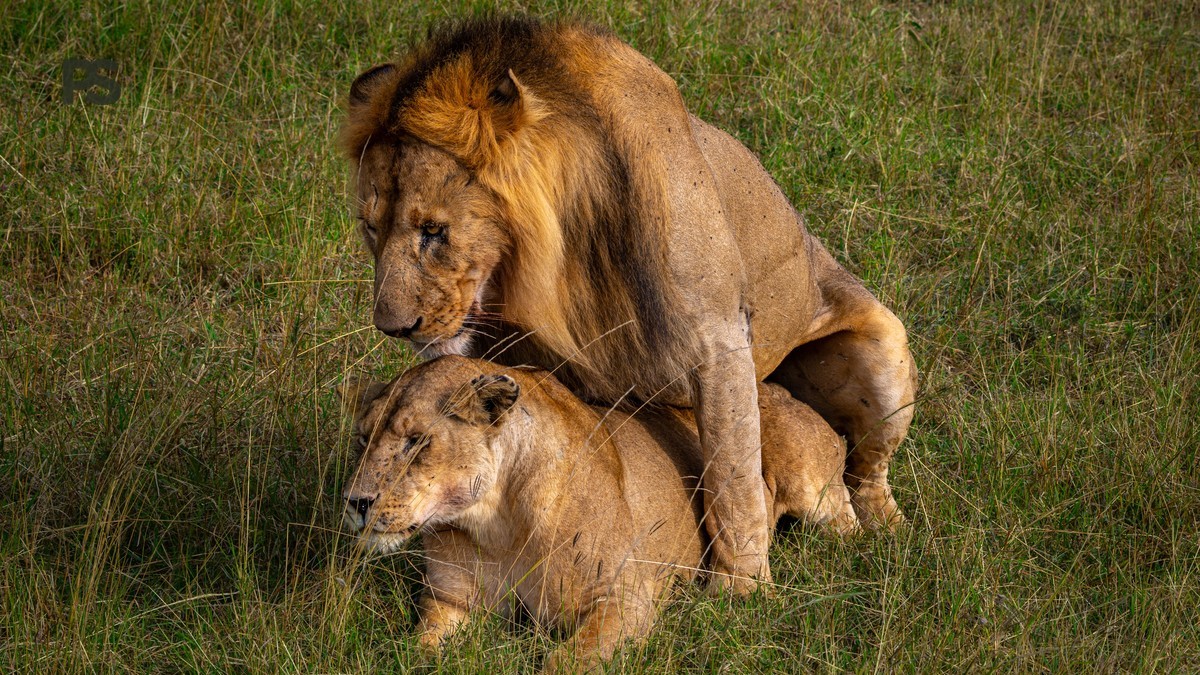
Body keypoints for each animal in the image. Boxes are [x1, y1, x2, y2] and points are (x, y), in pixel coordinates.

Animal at [338, 16, 916, 593]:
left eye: (434, 231)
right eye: (370, 228)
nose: (393, 327)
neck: (563, 261)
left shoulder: (719, 342)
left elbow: (732, 478)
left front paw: (738, 591)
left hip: (884, 352)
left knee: (862, 474)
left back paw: (887, 535)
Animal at [339, 355, 858, 671]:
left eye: (416, 442)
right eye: (364, 439)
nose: (355, 503)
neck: (495, 523)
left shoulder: (625, 597)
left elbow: (567, 661)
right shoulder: (451, 603)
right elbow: (415, 652)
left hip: (809, 485)